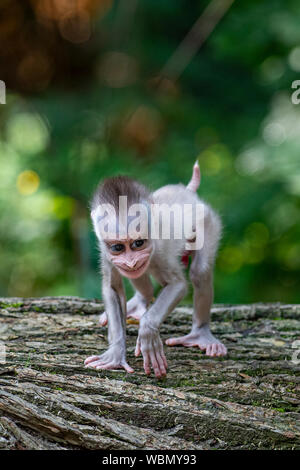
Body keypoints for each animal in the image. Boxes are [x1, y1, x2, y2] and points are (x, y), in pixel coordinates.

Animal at [85, 162, 227, 378]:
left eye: (138, 243)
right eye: (118, 247)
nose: (131, 262)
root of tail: (186, 191)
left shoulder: (160, 250)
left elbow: (178, 285)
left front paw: (147, 330)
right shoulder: (106, 251)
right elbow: (113, 288)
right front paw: (116, 352)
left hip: (208, 220)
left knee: (199, 272)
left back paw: (200, 334)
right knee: (141, 276)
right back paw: (141, 301)